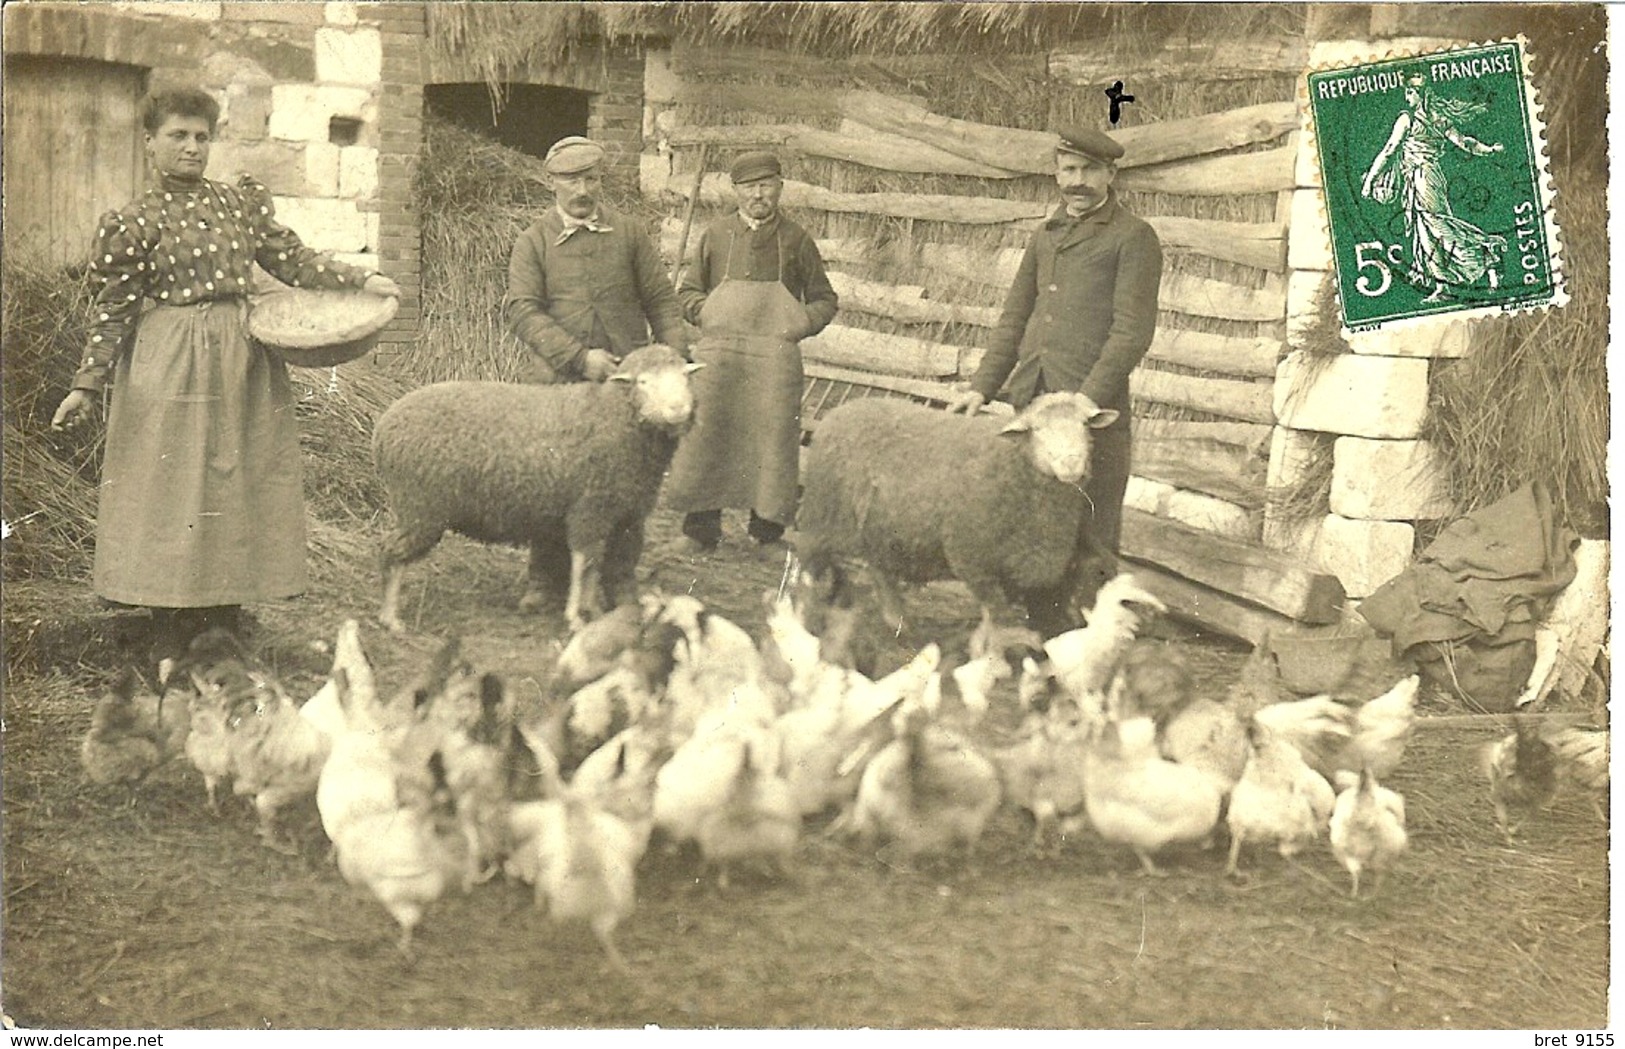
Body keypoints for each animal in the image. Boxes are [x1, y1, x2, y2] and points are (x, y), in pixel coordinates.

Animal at [373, 349, 705, 636]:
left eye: (684, 377)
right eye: (643, 382)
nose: (679, 409)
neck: (613, 415)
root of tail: (385, 425)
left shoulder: (616, 513)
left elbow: (594, 566)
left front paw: (593, 612)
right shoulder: (588, 509)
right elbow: (583, 564)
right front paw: (575, 617)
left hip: (418, 508)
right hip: (420, 507)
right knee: (391, 553)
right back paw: (390, 618)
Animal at [793, 394, 1124, 636]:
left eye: (1085, 425)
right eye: (1037, 430)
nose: (1071, 463)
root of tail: (840, 410)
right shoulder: (973, 557)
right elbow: (999, 619)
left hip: (882, 525)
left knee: (879, 568)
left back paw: (897, 619)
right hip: (826, 512)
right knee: (808, 557)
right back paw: (806, 613)